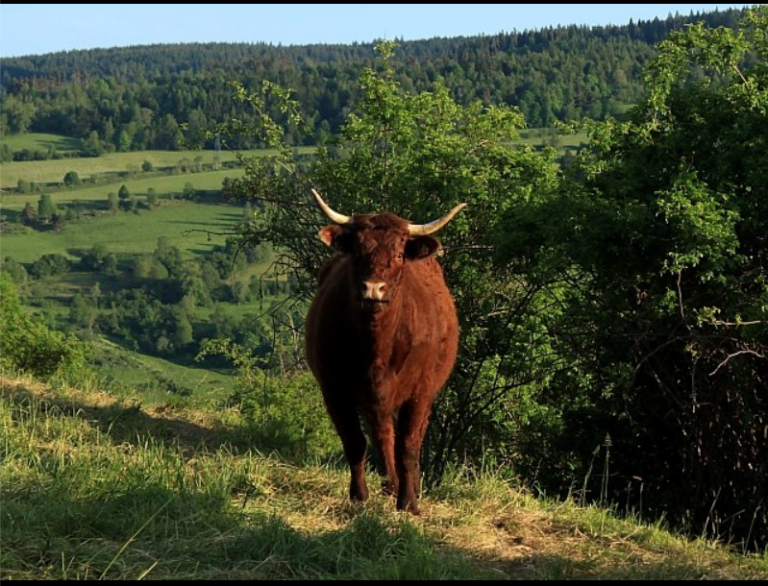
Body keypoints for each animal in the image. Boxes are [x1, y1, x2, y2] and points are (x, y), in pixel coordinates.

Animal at [304, 188, 462, 512]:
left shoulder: (420, 391)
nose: (373, 288)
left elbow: (409, 445)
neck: (376, 344)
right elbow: (355, 442)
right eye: (357, 252)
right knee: (383, 435)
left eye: (399, 254)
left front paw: (409, 503)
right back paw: (391, 484)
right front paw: (359, 496)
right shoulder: (334, 389)